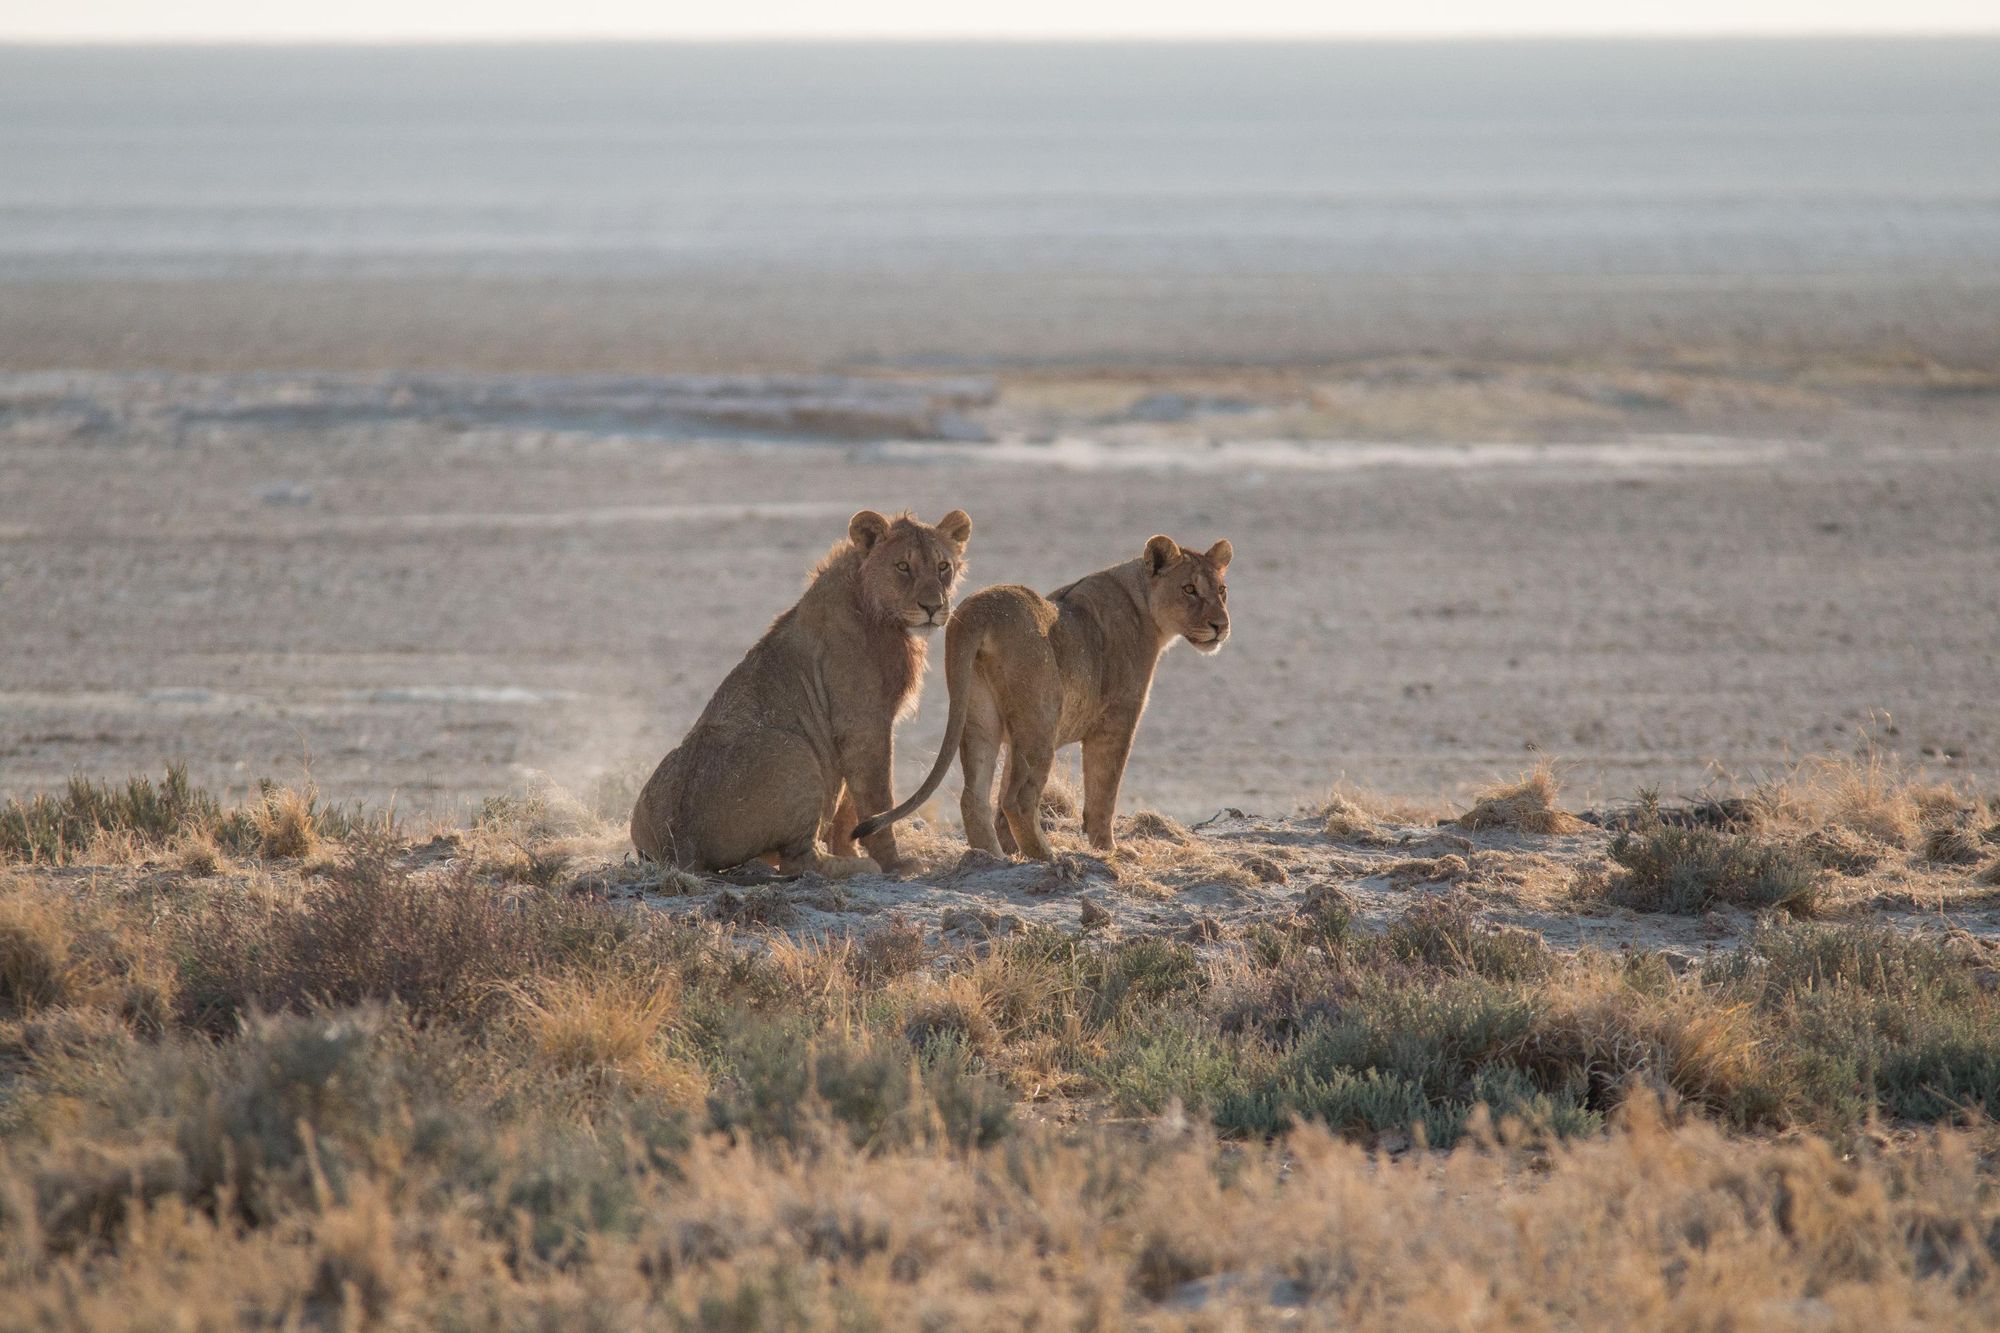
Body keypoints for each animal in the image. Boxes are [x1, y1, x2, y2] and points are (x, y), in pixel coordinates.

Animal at [624, 506, 968, 872]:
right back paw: (859, 867)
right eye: (903, 566)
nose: (933, 607)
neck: (871, 603)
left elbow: (848, 808)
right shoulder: (863, 724)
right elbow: (875, 798)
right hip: (798, 751)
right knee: (800, 861)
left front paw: (851, 849)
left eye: (943, 566)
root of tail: (681, 842)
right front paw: (893, 864)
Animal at [852, 532, 1224, 856]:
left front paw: (1012, 848)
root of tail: (980, 610)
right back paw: (1049, 858)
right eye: (1189, 589)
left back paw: (994, 859)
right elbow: (1104, 792)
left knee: (977, 797)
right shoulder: (1117, 721)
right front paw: (1109, 851)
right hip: (1041, 718)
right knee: (1018, 799)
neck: (1142, 602)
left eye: (1222, 590)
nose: (1221, 625)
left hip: (979, 715)